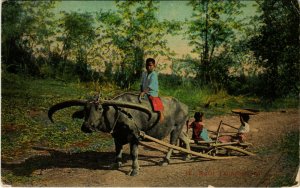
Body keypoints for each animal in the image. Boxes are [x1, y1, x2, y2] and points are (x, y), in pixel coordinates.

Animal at [48, 93, 190, 176]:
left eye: (100, 108)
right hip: (178, 129)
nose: (87, 126)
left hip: (176, 128)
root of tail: (184, 106)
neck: (120, 114)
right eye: (85, 110)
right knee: (186, 139)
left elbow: (134, 154)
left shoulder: (135, 136)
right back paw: (187, 156)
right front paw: (116, 164)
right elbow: (118, 151)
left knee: (172, 144)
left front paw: (134, 170)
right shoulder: (116, 137)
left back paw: (165, 160)